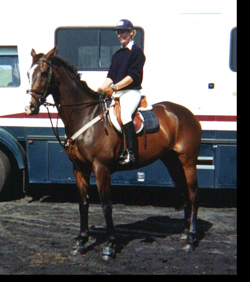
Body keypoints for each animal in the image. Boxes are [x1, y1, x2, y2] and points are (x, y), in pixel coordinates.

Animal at [24, 46, 201, 260]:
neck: (85, 116)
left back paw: (191, 239)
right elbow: (83, 204)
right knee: (185, 192)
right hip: (173, 162)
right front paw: (81, 242)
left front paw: (110, 246)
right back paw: (185, 233)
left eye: (43, 73)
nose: (29, 107)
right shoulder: (79, 169)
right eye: (28, 73)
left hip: (188, 161)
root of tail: (188, 114)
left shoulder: (101, 168)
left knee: (193, 194)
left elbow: (106, 205)